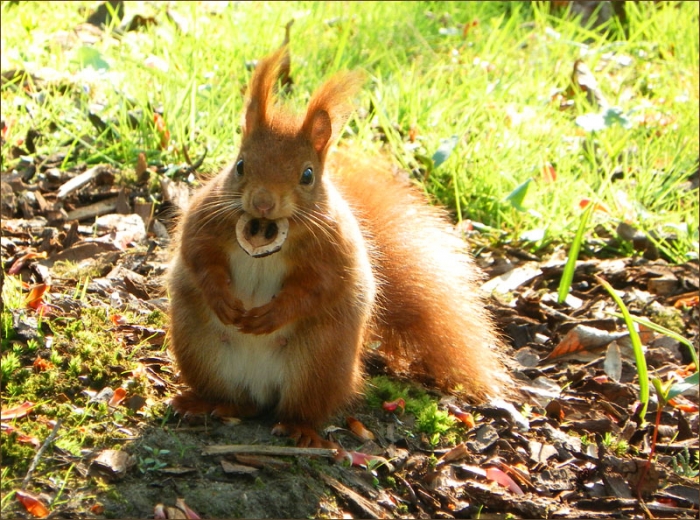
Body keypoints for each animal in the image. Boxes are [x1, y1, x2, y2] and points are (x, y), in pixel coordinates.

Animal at [167, 47, 508, 447]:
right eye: (239, 165)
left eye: (308, 175)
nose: (263, 203)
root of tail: (258, 389)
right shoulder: (204, 218)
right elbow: (198, 255)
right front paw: (222, 298)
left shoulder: (335, 249)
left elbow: (321, 287)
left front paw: (274, 315)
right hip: (199, 349)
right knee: (238, 401)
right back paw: (204, 403)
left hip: (319, 367)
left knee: (301, 408)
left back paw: (299, 429)